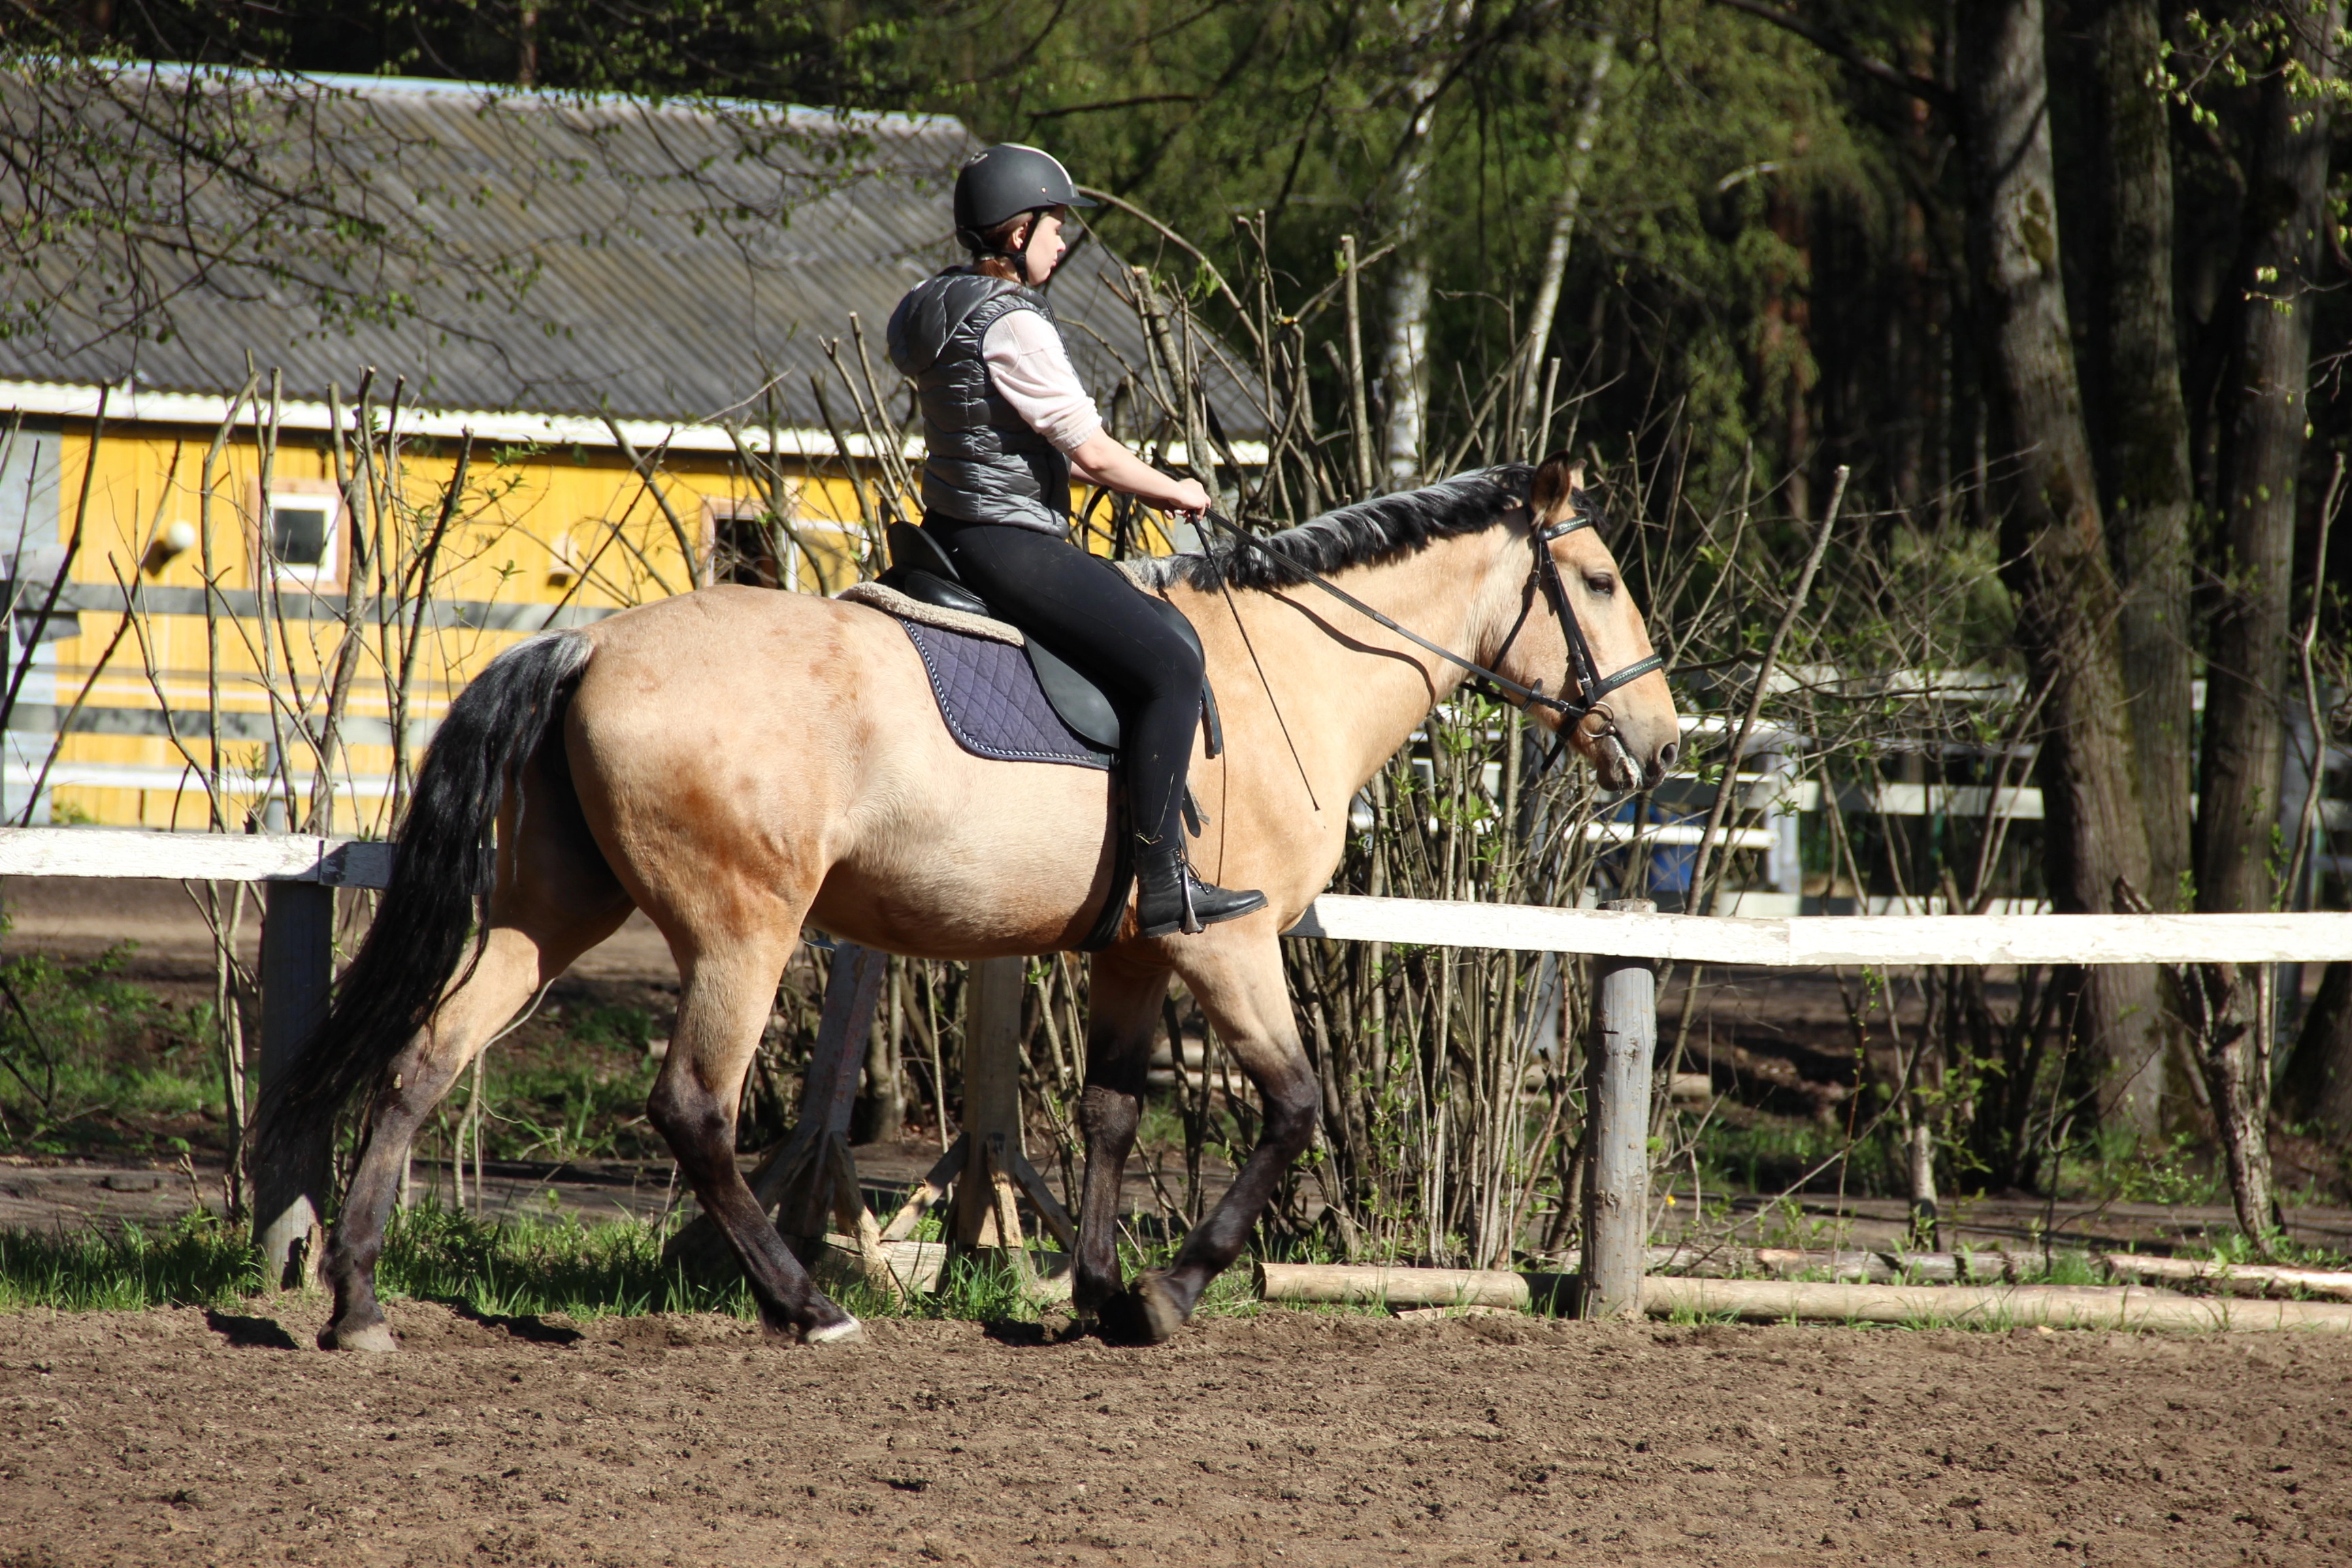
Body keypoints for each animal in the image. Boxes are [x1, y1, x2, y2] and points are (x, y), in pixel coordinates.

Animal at [267, 451, 1684, 1354]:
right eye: (1601, 583)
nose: (1661, 743)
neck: (1289, 668)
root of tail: (591, 643)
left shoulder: (1137, 951)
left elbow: (1110, 1112)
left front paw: (1100, 1292)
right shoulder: (1225, 943)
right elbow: (1292, 1105)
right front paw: (1167, 1294)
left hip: (546, 915)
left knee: (425, 1057)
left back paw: (359, 1304)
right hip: (742, 931)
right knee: (694, 1109)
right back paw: (809, 1305)